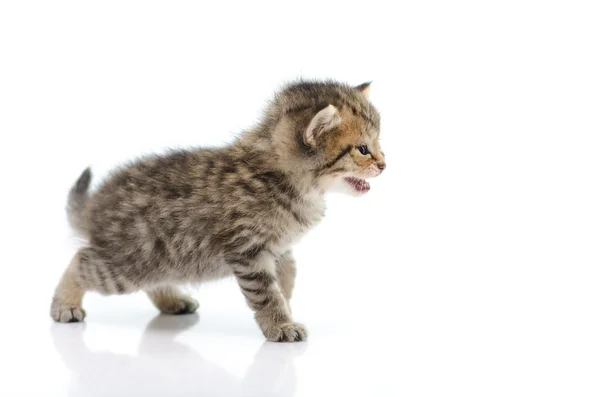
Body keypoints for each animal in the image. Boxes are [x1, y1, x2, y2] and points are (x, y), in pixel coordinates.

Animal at [52, 79, 390, 340]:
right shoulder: (248, 252)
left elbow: (287, 279)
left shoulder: (280, 250)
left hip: (156, 261)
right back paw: (64, 304)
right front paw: (280, 325)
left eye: (379, 144)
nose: (384, 164)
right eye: (363, 149)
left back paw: (172, 300)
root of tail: (95, 206)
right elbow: (267, 294)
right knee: (81, 261)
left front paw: (287, 310)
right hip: (129, 264)